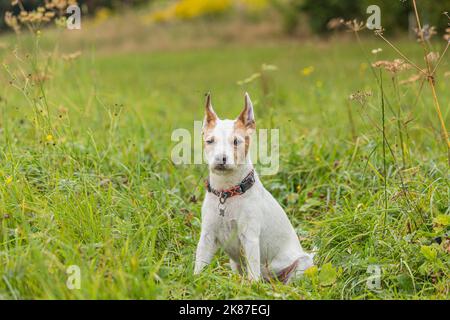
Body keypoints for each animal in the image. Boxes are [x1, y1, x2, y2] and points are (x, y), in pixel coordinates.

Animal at [193, 92, 312, 282]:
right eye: (210, 141)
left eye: (236, 141)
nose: (220, 158)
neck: (227, 193)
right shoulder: (207, 237)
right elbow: (199, 267)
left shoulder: (250, 238)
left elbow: (253, 275)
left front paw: (252, 286)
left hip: (302, 263)